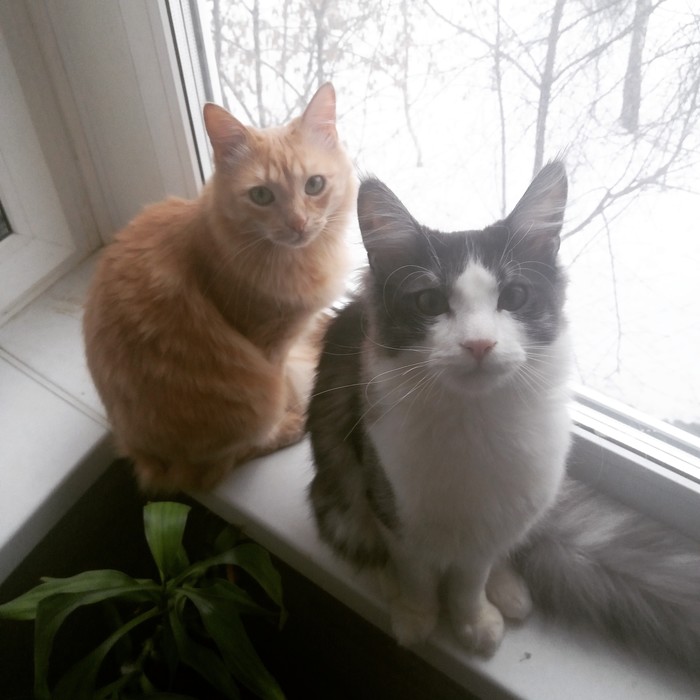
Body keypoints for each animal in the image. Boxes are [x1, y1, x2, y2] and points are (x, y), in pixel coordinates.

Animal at [84, 82, 356, 492]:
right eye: (261, 195)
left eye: (314, 185)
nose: (298, 224)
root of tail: (143, 456)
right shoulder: (269, 344)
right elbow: (282, 386)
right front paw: (293, 407)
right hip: (248, 400)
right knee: (222, 463)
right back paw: (289, 426)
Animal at [307, 162, 700, 671]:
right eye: (430, 303)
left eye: (513, 296)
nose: (479, 344)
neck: (474, 423)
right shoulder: (393, 505)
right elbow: (415, 573)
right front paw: (417, 616)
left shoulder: (488, 525)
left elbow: (470, 580)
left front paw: (474, 621)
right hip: (342, 495)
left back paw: (511, 592)